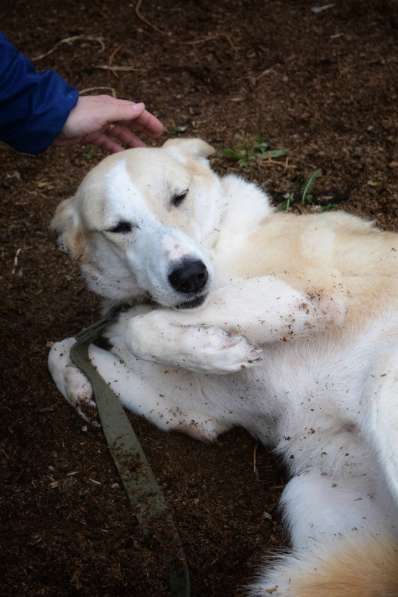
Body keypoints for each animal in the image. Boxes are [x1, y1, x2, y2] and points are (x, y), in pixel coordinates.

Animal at [48, 139, 398, 592]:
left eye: (179, 196)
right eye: (119, 227)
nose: (189, 276)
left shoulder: (308, 293)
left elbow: (144, 327)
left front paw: (218, 350)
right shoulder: (190, 411)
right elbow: (61, 349)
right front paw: (81, 388)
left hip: (383, 387)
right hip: (310, 496)